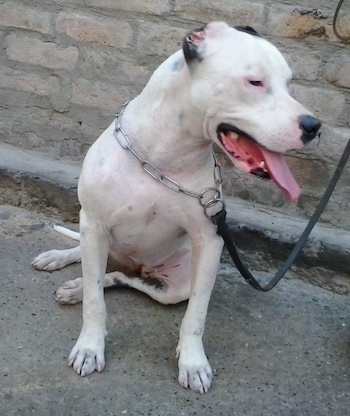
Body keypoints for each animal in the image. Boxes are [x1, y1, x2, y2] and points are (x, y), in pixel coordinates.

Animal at [32, 22, 320, 394]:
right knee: (88, 258)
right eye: (255, 82)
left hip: (172, 284)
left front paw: (193, 363)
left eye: (288, 83)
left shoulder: (210, 241)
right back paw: (62, 263)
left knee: (119, 277)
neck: (164, 157)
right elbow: (96, 303)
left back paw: (78, 287)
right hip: (98, 236)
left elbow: (195, 316)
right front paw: (89, 347)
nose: (313, 126)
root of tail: (138, 264)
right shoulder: (94, 222)